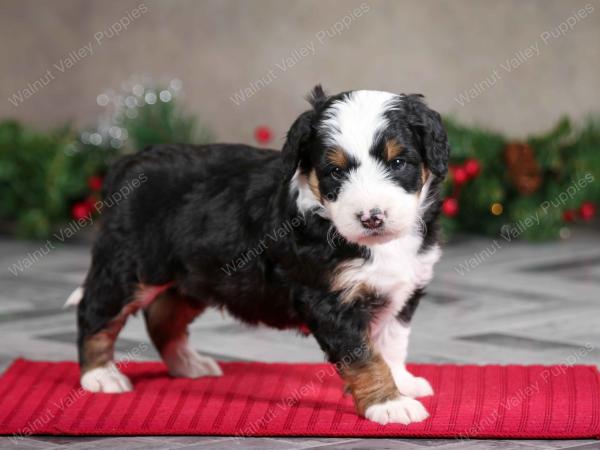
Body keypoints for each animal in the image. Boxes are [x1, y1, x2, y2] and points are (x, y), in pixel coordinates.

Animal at [70, 85, 448, 426]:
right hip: (129, 266)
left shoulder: (405, 287)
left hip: (195, 275)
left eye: (398, 162)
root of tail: (127, 162)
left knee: (163, 317)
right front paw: (388, 404)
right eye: (336, 171)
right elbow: (365, 356)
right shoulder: (329, 299)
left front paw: (402, 383)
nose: (372, 218)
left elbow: (392, 341)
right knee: (95, 312)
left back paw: (189, 365)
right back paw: (100, 375)